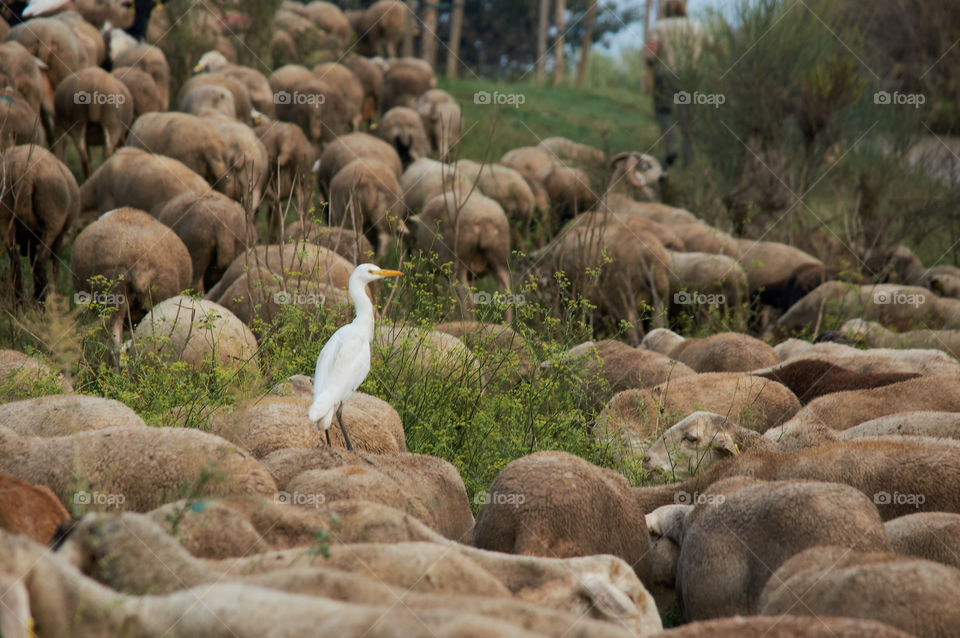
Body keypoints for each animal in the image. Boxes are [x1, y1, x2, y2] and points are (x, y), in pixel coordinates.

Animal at [0, 144, 79, 303]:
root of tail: (23, 170)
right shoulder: (59, 235)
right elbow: (54, 265)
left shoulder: (31, 237)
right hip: (52, 220)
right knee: (40, 262)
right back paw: (42, 301)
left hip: (4, 216)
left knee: (15, 261)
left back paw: (19, 303)